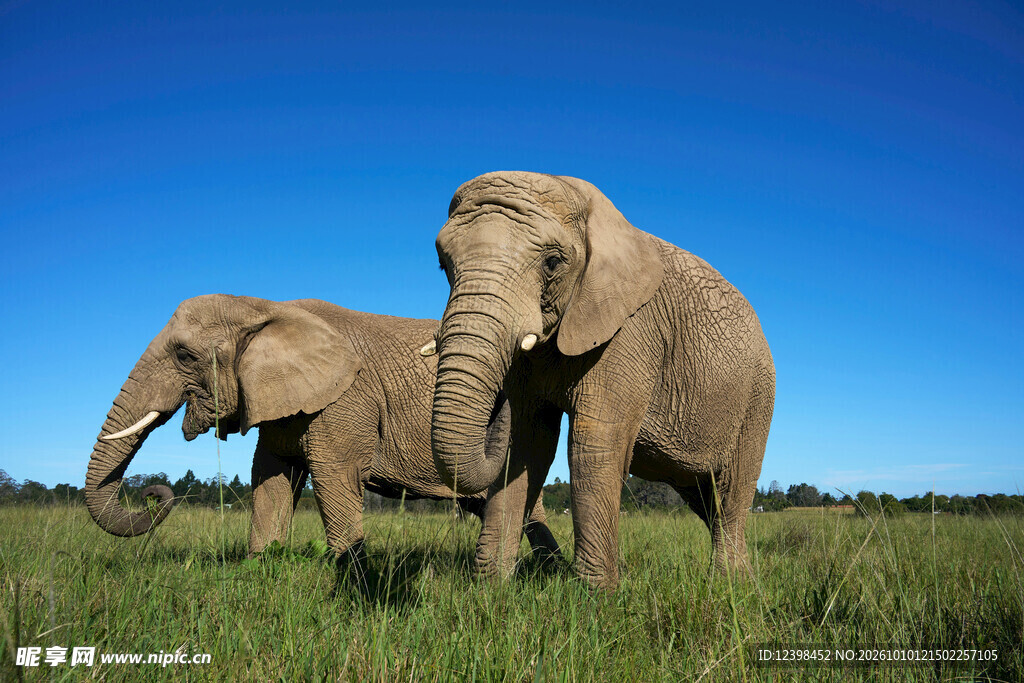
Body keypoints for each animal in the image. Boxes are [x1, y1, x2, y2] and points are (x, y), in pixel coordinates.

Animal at [86, 294, 560, 576]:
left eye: (184, 355)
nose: (152, 493)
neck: (262, 307)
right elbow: (271, 479)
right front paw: (258, 569)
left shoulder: (345, 402)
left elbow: (335, 478)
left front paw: (351, 578)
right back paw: (551, 571)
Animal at [428, 171, 775, 589]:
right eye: (443, 264)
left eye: (552, 262)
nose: (496, 412)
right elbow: (528, 446)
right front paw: (490, 589)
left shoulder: (631, 331)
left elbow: (593, 445)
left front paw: (597, 594)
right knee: (703, 497)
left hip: (757, 395)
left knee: (731, 491)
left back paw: (730, 584)